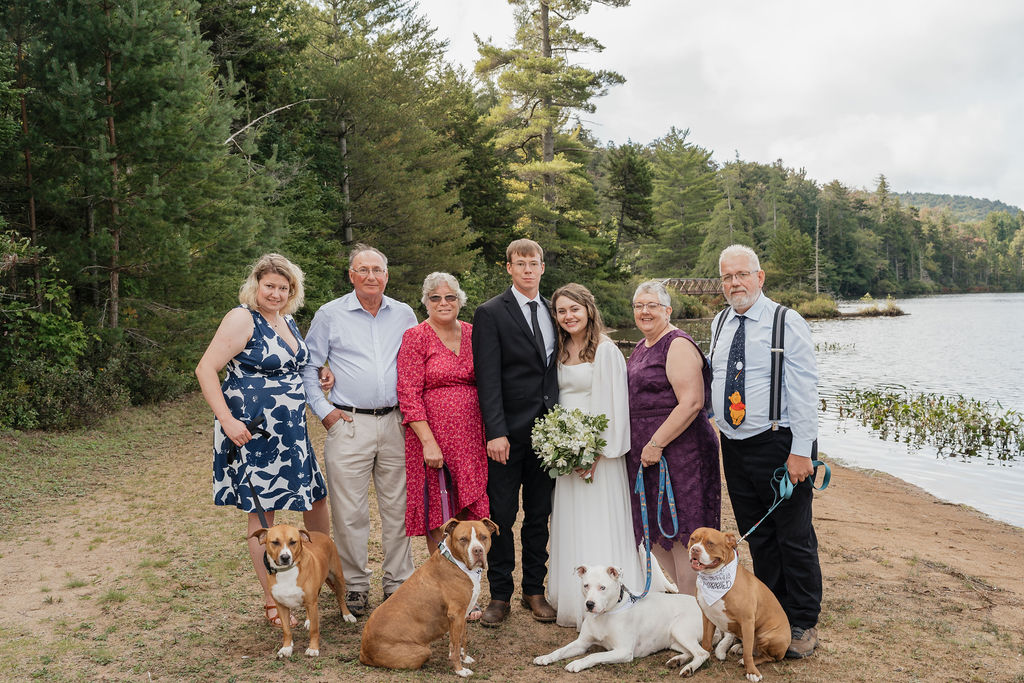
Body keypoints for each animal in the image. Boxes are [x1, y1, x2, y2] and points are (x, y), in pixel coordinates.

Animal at [249, 524, 358, 655]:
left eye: (293, 542)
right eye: (275, 542)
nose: (285, 557)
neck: (286, 572)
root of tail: (320, 534)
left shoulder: (312, 602)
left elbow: (314, 630)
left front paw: (313, 648)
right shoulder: (281, 606)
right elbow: (286, 630)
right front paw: (286, 648)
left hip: (338, 577)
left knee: (340, 597)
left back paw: (347, 615)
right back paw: (309, 620)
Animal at [360, 520, 499, 675]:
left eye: (483, 537)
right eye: (463, 539)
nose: (478, 550)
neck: (456, 562)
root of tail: (363, 652)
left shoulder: (463, 614)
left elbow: (461, 639)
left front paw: (464, 658)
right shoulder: (456, 615)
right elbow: (456, 645)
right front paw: (459, 670)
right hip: (422, 651)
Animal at [536, 548, 712, 675]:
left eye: (602, 587)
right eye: (586, 585)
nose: (589, 604)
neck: (605, 614)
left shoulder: (623, 651)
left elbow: (594, 655)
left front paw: (577, 663)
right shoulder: (581, 644)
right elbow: (561, 650)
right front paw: (546, 657)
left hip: (680, 629)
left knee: (703, 653)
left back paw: (688, 669)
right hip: (675, 640)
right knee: (692, 652)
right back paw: (678, 661)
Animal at [688, 528, 790, 679]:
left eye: (710, 543)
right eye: (693, 539)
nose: (695, 549)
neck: (715, 576)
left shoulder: (747, 621)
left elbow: (748, 654)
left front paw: (751, 671)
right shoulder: (707, 617)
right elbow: (706, 643)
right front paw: (702, 660)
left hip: (768, 637)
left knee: (766, 656)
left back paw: (747, 660)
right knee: (750, 647)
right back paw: (738, 648)